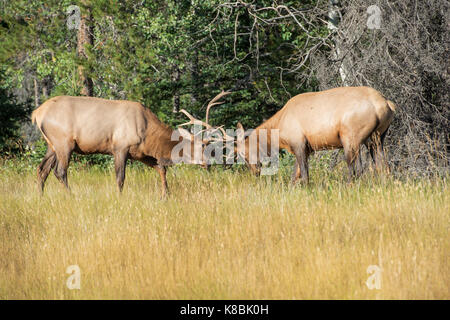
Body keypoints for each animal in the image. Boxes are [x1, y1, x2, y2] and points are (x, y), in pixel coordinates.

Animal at [32, 92, 230, 196]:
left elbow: (161, 169)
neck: (148, 133)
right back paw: (72, 196)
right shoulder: (120, 147)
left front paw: (166, 195)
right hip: (64, 142)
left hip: (52, 145)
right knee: (59, 171)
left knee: (42, 169)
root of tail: (37, 113)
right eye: (202, 146)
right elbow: (120, 178)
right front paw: (120, 198)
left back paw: (41, 197)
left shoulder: (140, 153)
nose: (208, 164)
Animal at [237, 86, 396, 184]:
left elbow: (304, 175)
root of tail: (386, 104)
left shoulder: (299, 143)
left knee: (356, 169)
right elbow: (295, 177)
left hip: (351, 138)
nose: (255, 172)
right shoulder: (306, 148)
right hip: (376, 138)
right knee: (383, 165)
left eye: (243, 154)